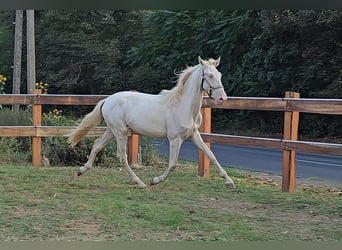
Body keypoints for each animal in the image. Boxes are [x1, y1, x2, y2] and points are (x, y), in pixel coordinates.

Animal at [68, 56, 236, 188]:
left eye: (219, 74)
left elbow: (211, 155)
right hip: (120, 132)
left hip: (112, 130)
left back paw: (79, 172)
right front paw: (155, 180)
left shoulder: (193, 135)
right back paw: (140, 183)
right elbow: (173, 164)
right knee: (122, 157)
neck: (182, 106)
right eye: (209, 75)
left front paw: (230, 182)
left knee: (97, 145)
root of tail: (107, 100)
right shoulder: (175, 139)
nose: (223, 98)